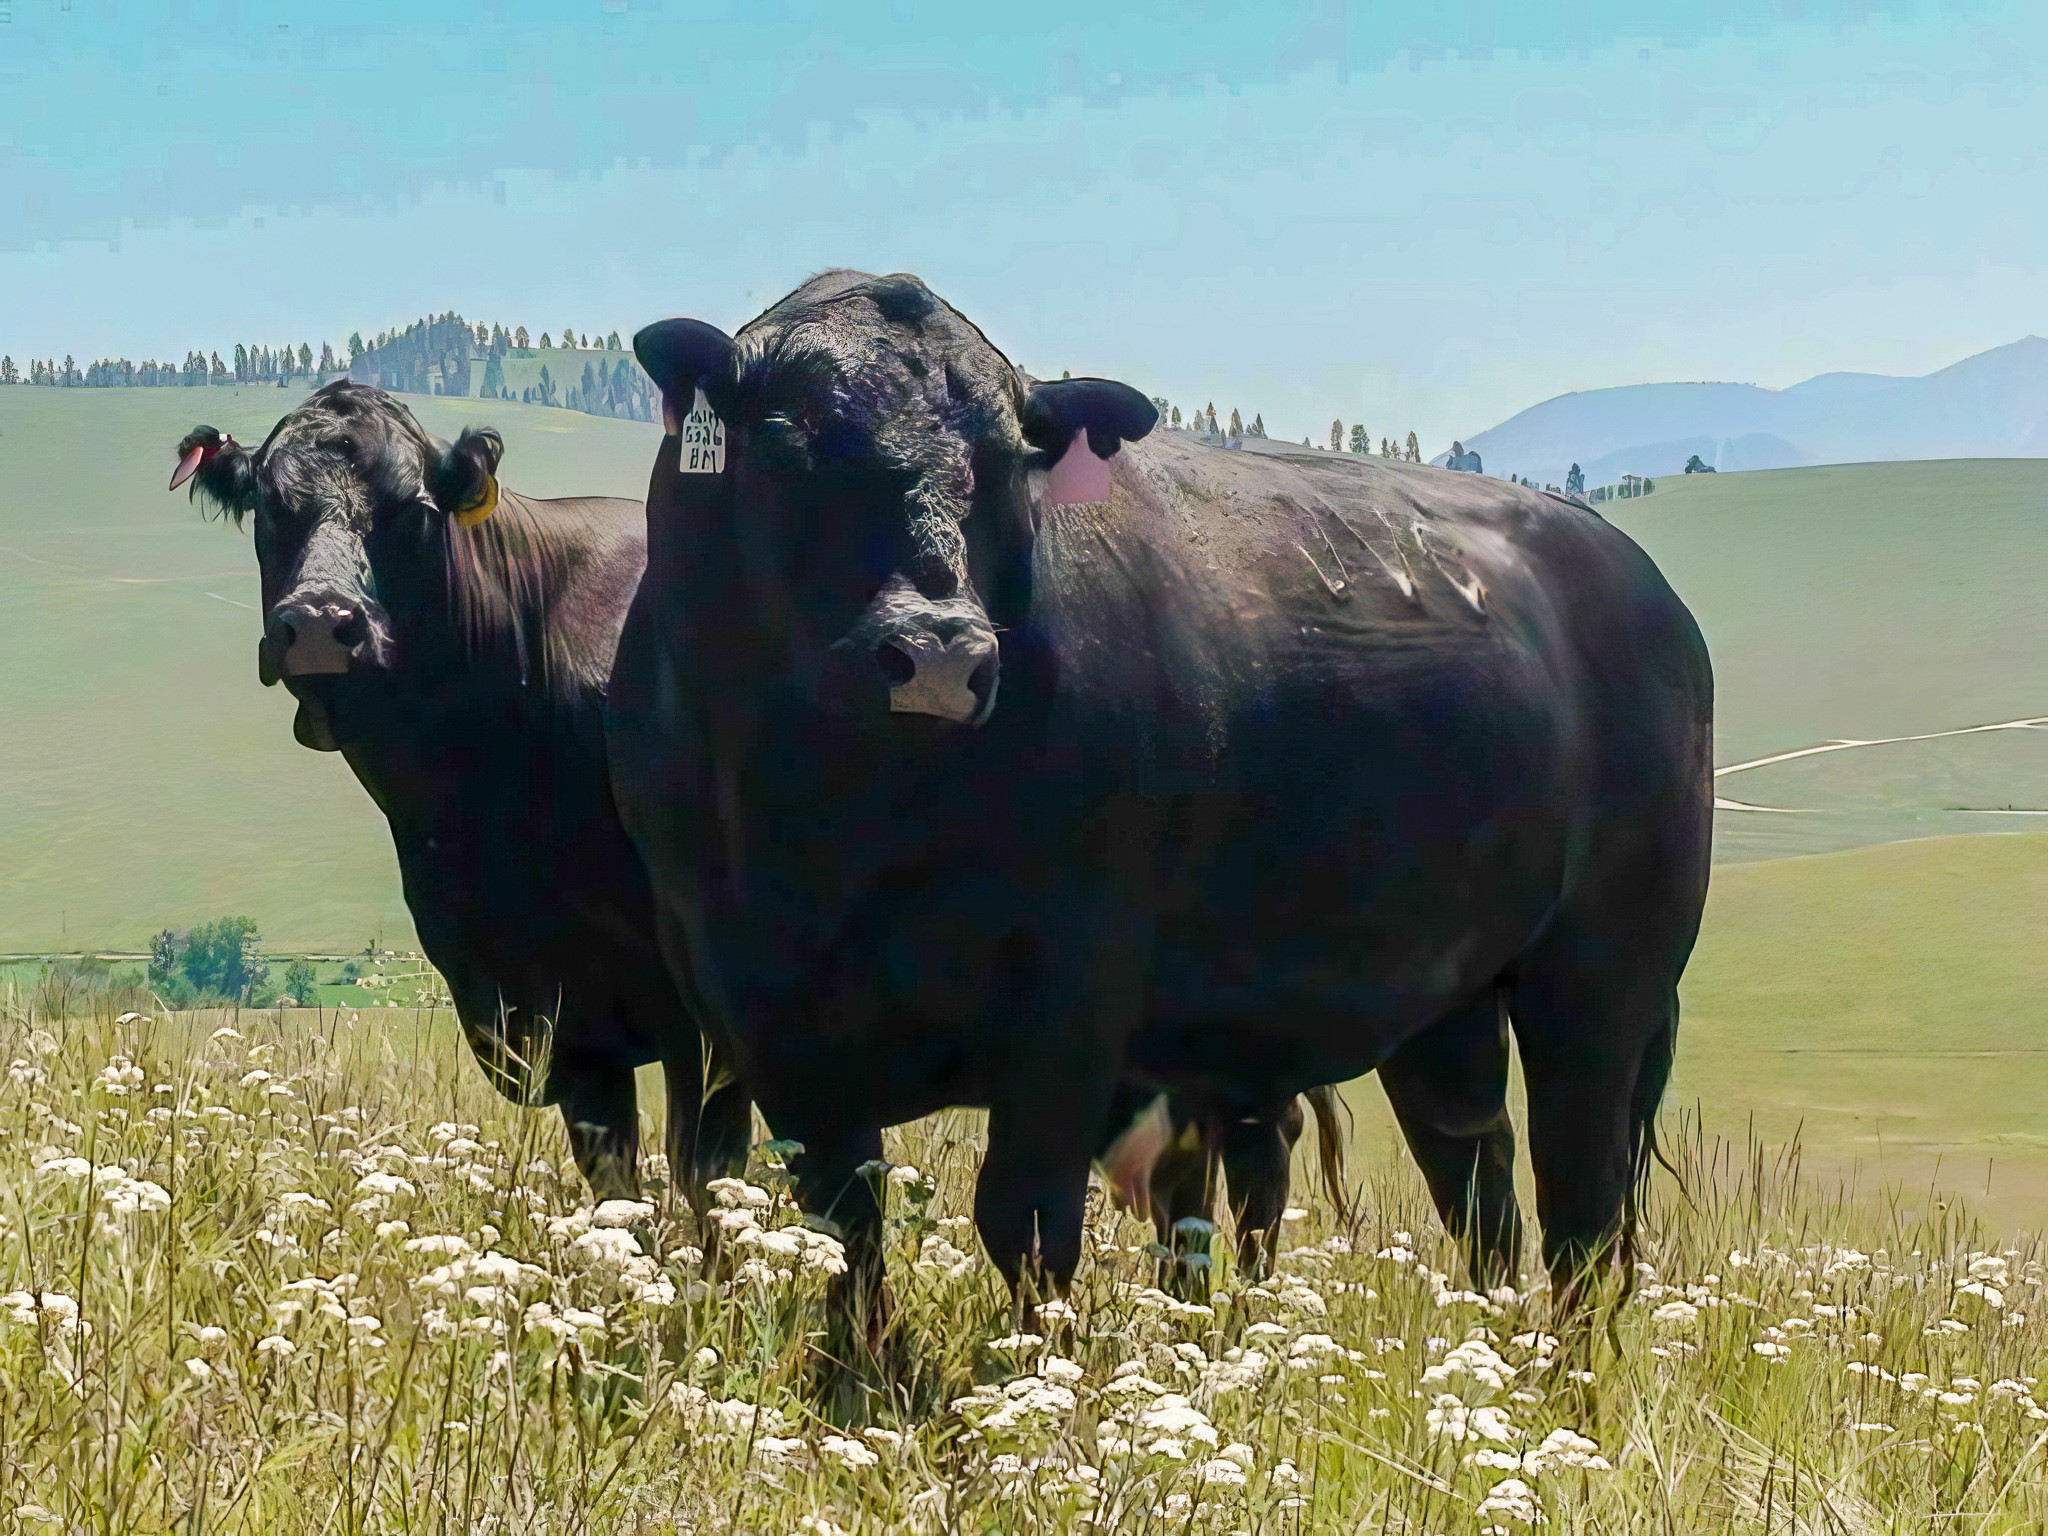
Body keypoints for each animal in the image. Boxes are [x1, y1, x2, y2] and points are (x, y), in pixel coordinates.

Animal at [169, 381, 752, 1208]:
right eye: (269, 509)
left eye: (413, 510)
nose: (317, 622)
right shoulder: (559, 1014)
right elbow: (614, 1174)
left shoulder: (711, 1016)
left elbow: (706, 1175)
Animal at [609, 271, 1711, 1345]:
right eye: (790, 441)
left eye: (1005, 462)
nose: (938, 652)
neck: (843, 825)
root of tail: (1632, 574)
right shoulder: (761, 1016)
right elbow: (844, 1224)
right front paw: (858, 1377)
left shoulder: (1070, 997)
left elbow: (1025, 1219)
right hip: (1450, 1004)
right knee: (1481, 1194)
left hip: (1600, 980)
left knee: (1583, 1215)